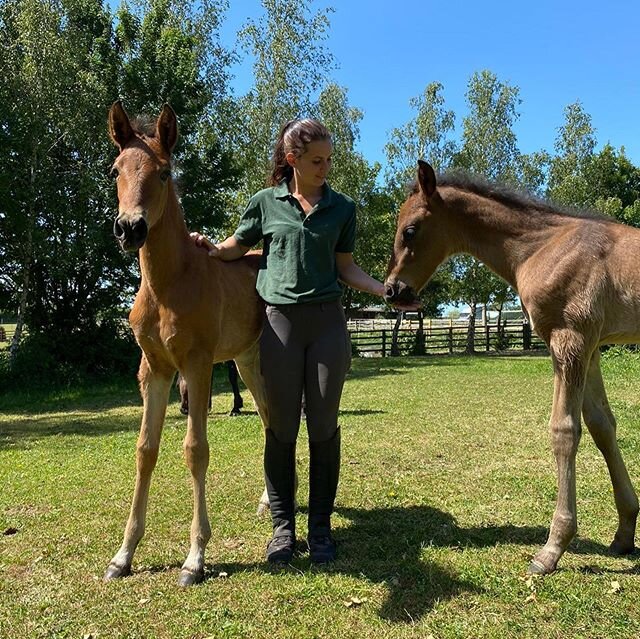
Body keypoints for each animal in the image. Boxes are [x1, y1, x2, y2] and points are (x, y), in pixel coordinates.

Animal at [105, 101, 273, 586]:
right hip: (247, 360)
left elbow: (195, 450)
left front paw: (195, 558)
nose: (130, 228)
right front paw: (123, 555)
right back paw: (267, 500)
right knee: (270, 419)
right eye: (115, 170)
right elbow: (145, 450)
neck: (168, 286)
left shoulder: (197, 366)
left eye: (163, 173)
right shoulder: (154, 370)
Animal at [385, 160, 640, 575]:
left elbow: (564, 432)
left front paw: (553, 548)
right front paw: (624, 532)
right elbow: (602, 426)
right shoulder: (591, 348)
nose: (393, 291)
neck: (542, 247)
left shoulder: (569, 341)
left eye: (410, 229)